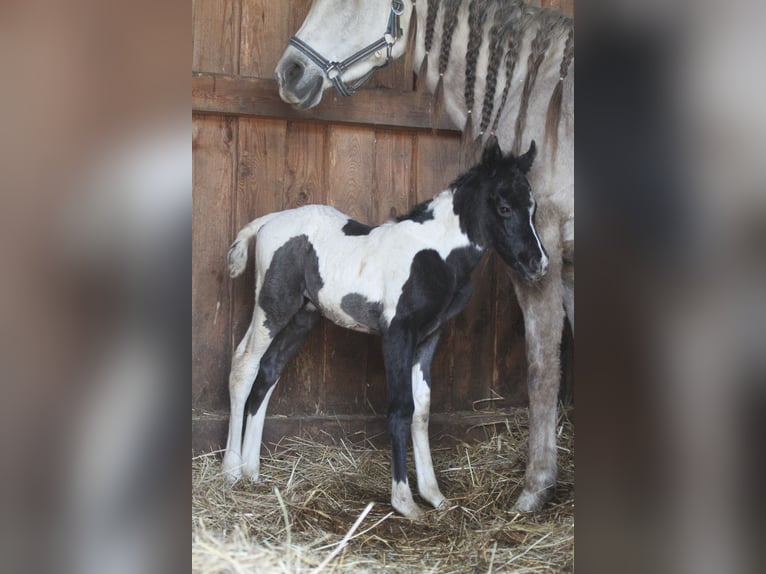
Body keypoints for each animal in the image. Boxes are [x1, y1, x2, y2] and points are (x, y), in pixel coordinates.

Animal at [222, 138, 546, 518]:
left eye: (534, 208)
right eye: (504, 207)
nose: (538, 263)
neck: (436, 253)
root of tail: (268, 220)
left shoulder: (429, 336)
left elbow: (422, 409)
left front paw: (434, 495)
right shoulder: (397, 333)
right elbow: (401, 408)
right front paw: (405, 501)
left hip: (304, 315)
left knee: (269, 371)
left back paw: (252, 471)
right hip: (273, 307)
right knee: (244, 366)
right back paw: (231, 470)